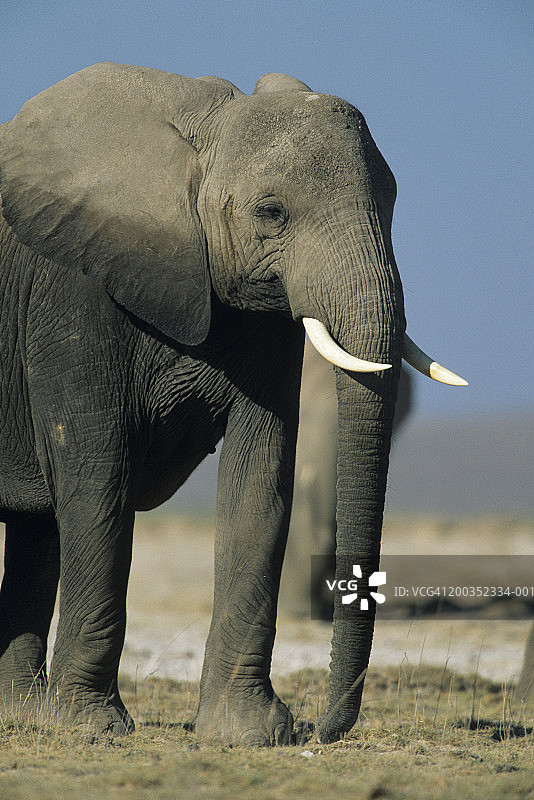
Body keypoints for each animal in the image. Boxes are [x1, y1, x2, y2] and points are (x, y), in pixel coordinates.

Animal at [0, 63, 467, 745]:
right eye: (271, 212)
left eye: (392, 201)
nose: (324, 730)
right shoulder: (74, 291)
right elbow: (97, 478)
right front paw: (93, 729)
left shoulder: (269, 320)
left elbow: (259, 481)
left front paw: (250, 733)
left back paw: (22, 715)